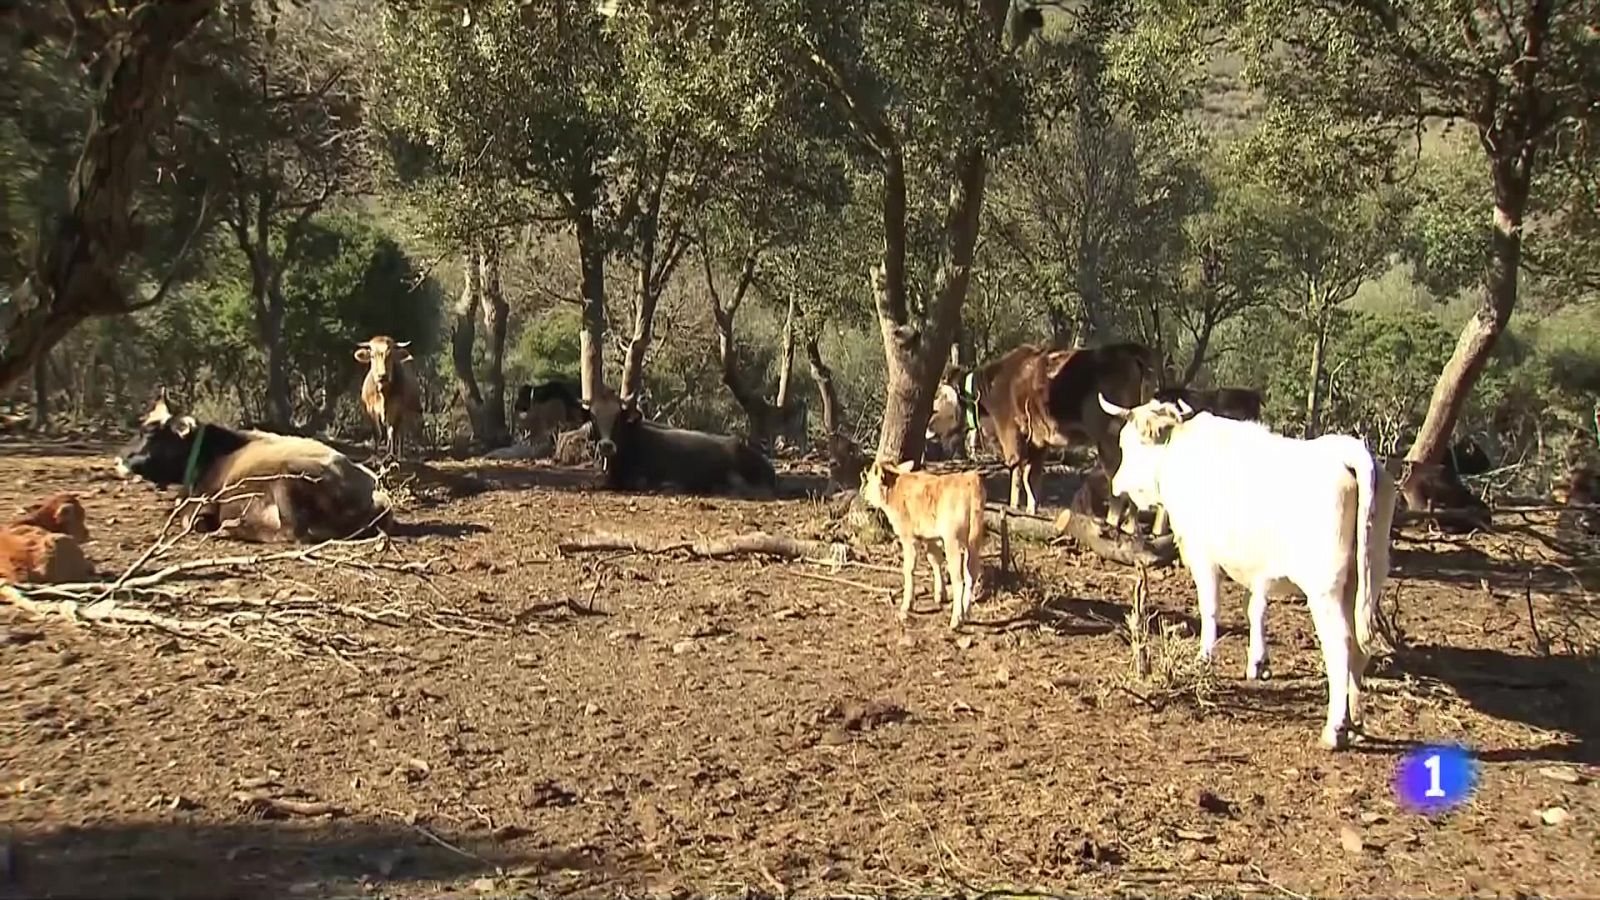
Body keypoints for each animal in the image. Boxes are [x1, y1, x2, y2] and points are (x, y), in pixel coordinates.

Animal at [114, 394, 395, 543]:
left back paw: (233, 527)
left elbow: (190, 519)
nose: (118, 460)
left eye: (150, 433)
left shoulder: (203, 504)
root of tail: (372, 489)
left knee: (293, 533)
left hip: (287, 481)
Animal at [858, 460, 986, 629]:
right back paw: (966, 613)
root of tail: (970, 479)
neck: (896, 489)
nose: (864, 494)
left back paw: (956, 620)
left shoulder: (908, 537)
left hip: (952, 541)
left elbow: (909, 568)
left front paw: (907, 605)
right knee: (971, 574)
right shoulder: (930, 537)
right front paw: (940, 595)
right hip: (974, 541)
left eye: (871, 479)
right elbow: (935, 560)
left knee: (959, 580)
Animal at [970, 341, 1162, 527]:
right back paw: (1130, 526)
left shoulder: (1012, 436)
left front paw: (1013, 508)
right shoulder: (1038, 443)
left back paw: (1112, 523)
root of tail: (1130, 350)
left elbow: (1017, 475)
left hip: (1110, 440)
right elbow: (1031, 477)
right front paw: (1031, 511)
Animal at [1098, 393, 1397, 750]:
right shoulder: (1254, 566)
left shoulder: (1203, 553)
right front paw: (1258, 662)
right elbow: (1254, 608)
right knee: (1361, 648)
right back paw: (1355, 723)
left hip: (1326, 589)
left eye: (1127, 444)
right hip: (1368, 578)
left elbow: (1211, 608)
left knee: (1341, 644)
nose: (1116, 485)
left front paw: (1204, 659)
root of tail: (1347, 453)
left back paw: (1335, 730)